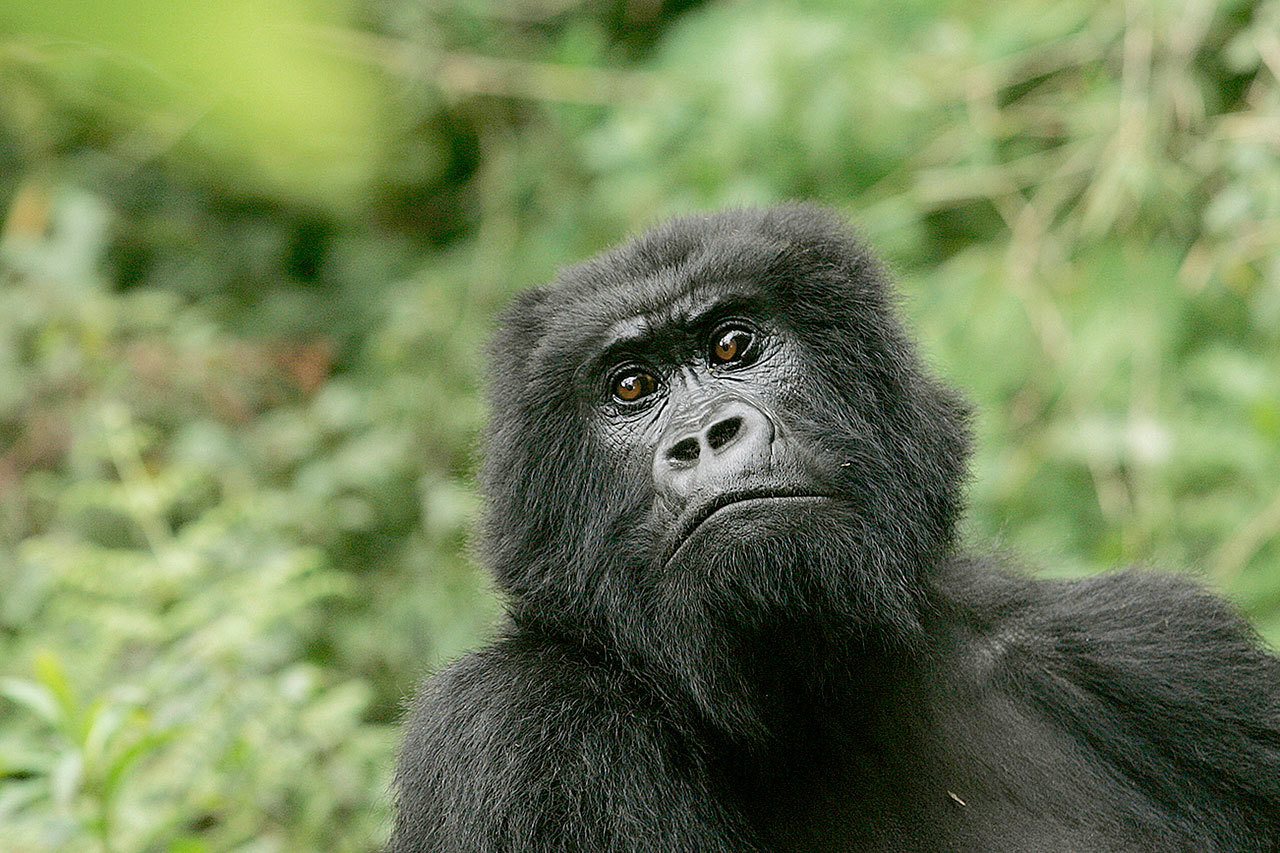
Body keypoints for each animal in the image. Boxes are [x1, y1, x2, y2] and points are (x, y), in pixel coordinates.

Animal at [391, 202, 1280, 845]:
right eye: (632, 387)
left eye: (733, 344)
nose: (706, 436)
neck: (817, 703)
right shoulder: (514, 726)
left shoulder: (1165, 650)